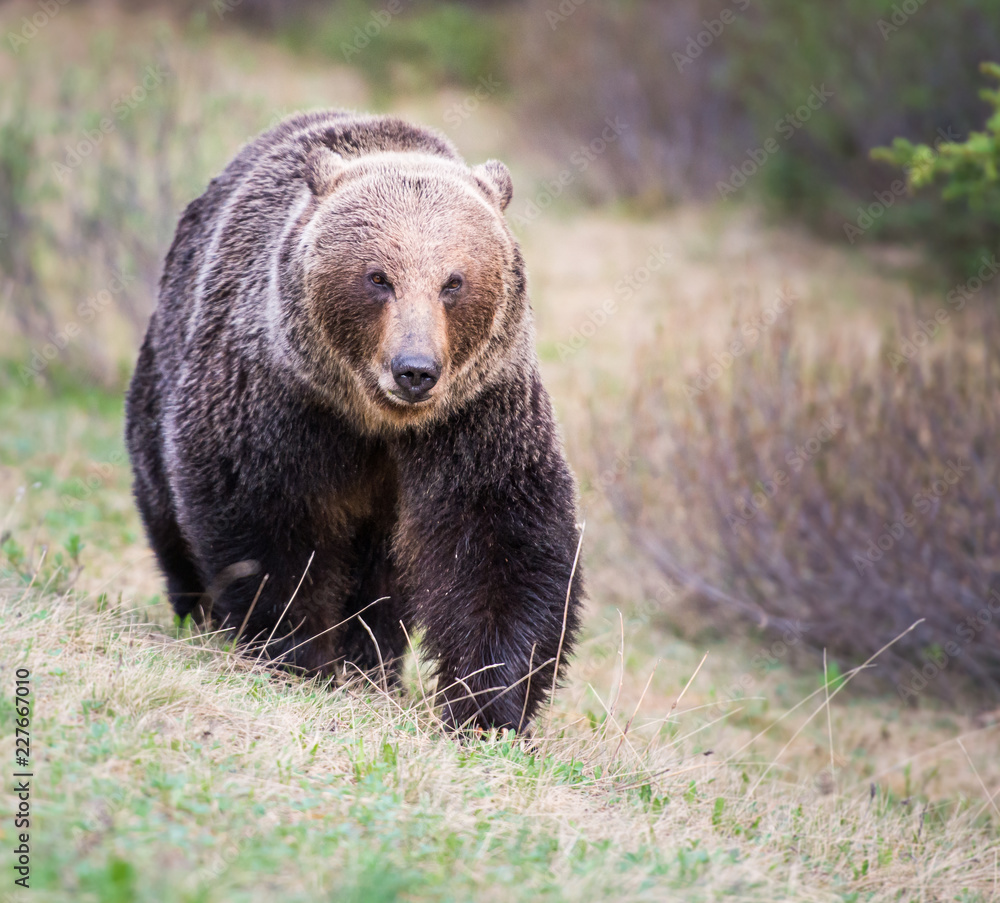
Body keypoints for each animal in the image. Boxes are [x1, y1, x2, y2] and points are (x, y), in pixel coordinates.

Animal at [125, 110, 583, 732]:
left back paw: (374, 663)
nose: (415, 370)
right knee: (166, 513)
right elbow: (266, 523)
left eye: (453, 281)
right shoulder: (279, 402)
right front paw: (297, 653)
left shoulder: (476, 416)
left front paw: (488, 702)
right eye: (378, 277)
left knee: (385, 586)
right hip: (164, 373)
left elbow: (503, 540)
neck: (376, 421)